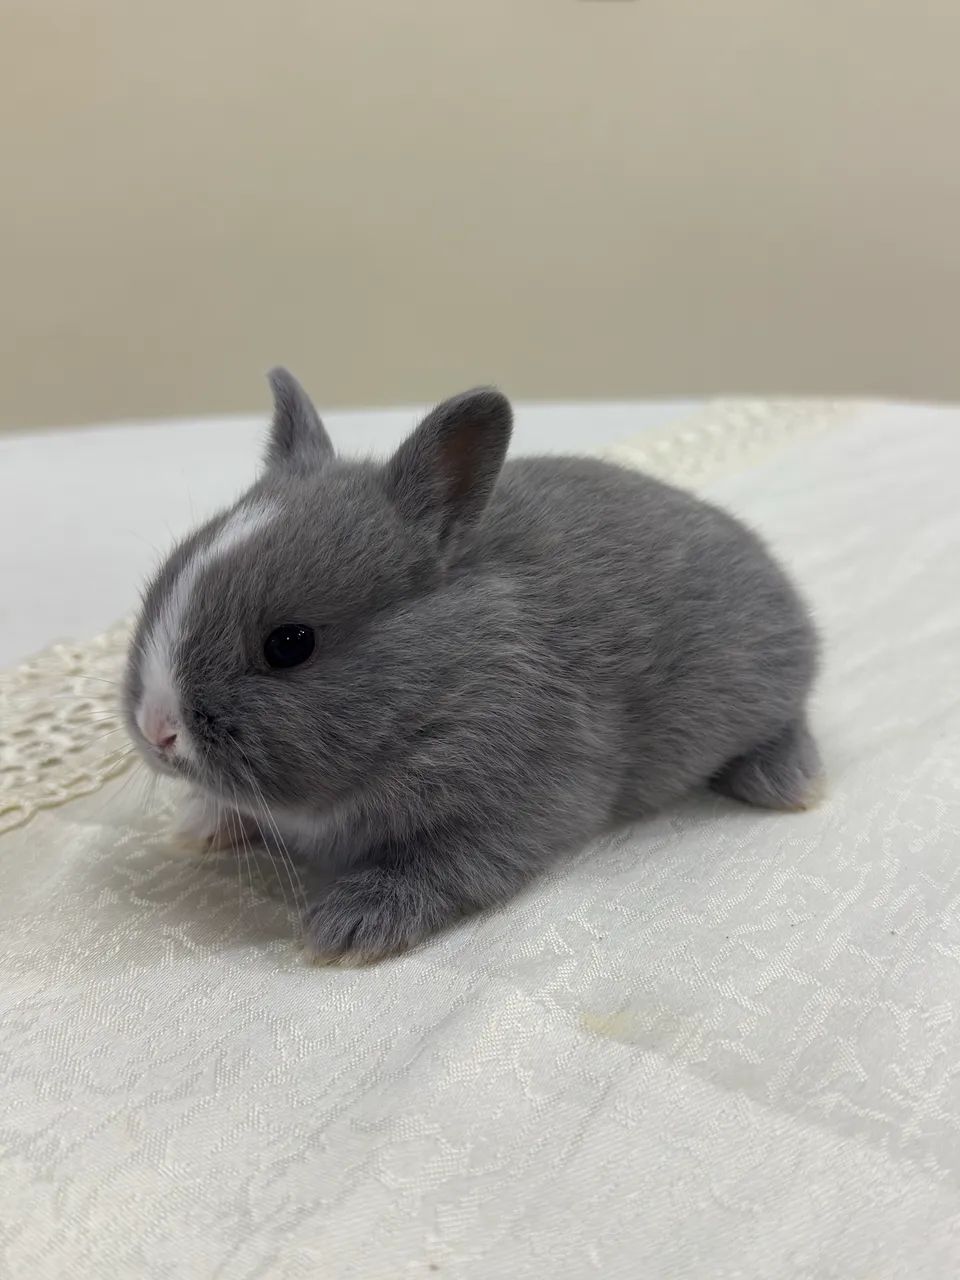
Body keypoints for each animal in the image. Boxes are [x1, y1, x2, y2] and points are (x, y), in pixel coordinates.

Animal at [125, 369, 822, 963]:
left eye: (290, 643)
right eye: (162, 582)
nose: (159, 729)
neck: (445, 680)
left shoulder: (520, 803)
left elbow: (443, 867)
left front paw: (347, 928)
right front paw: (198, 828)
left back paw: (789, 783)